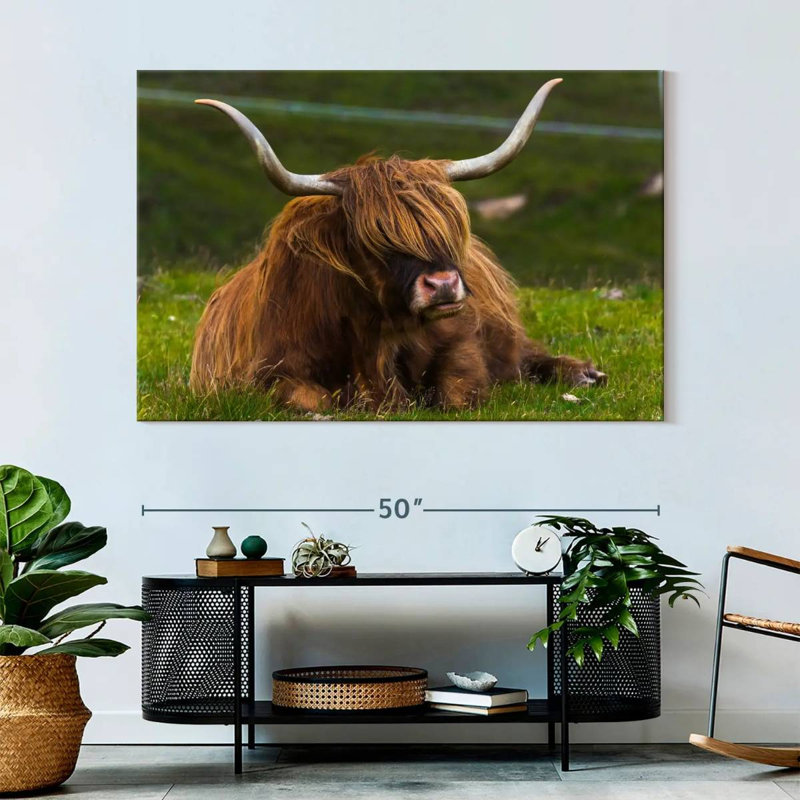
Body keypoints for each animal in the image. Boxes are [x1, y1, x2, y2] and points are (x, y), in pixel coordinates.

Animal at [190, 79, 607, 413]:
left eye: (447, 228)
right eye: (372, 241)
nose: (442, 285)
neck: (376, 336)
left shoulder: (463, 343)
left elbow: (457, 391)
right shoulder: (270, 373)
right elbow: (311, 400)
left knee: (525, 354)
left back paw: (584, 373)